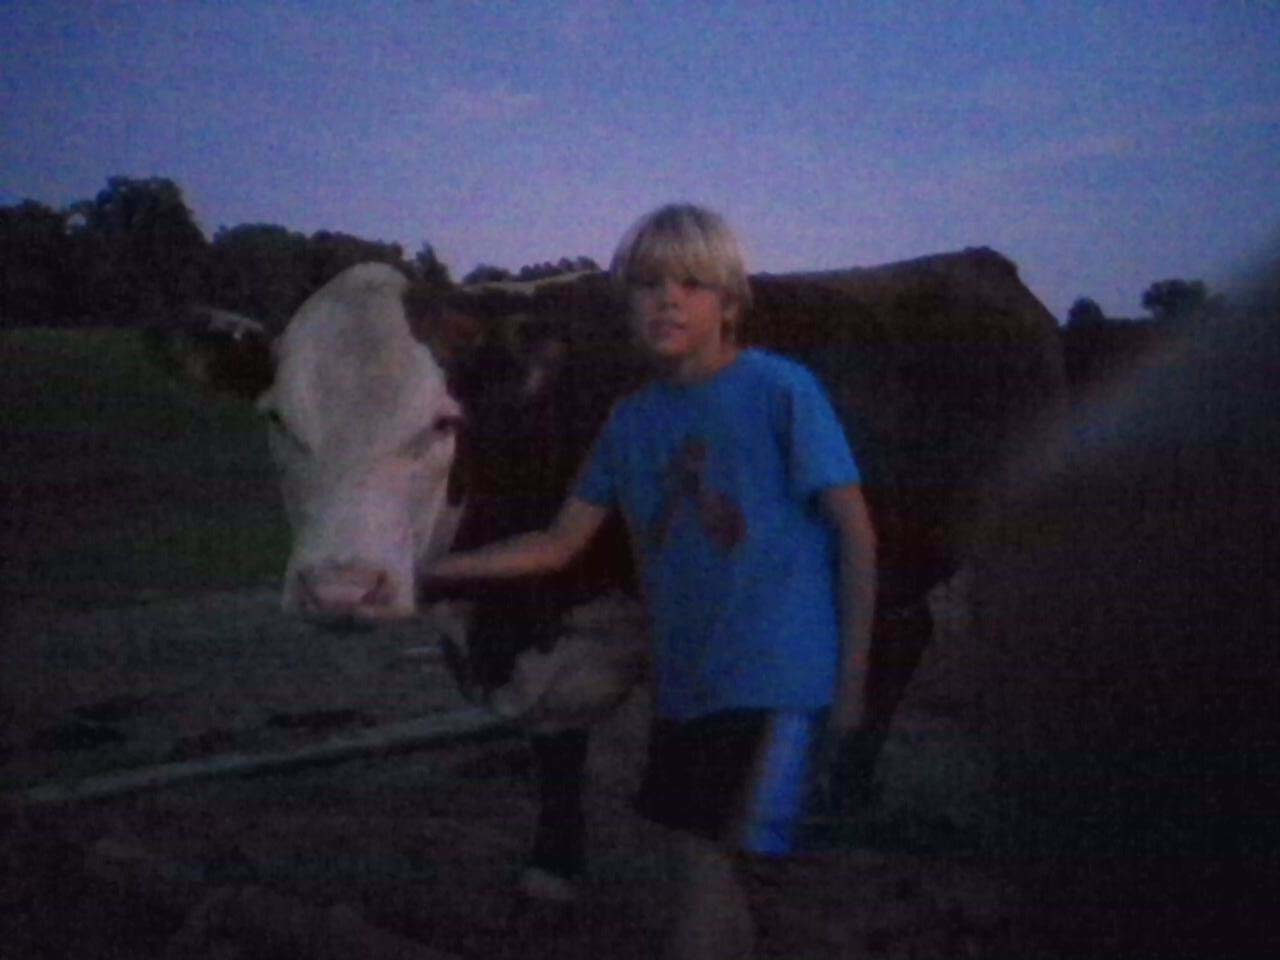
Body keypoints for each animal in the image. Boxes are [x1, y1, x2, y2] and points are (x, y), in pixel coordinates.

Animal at [166, 247, 1066, 901]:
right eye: (278, 420)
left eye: (442, 423)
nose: (342, 588)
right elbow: (557, 744)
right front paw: (553, 865)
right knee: (903, 636)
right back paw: (846, 789)